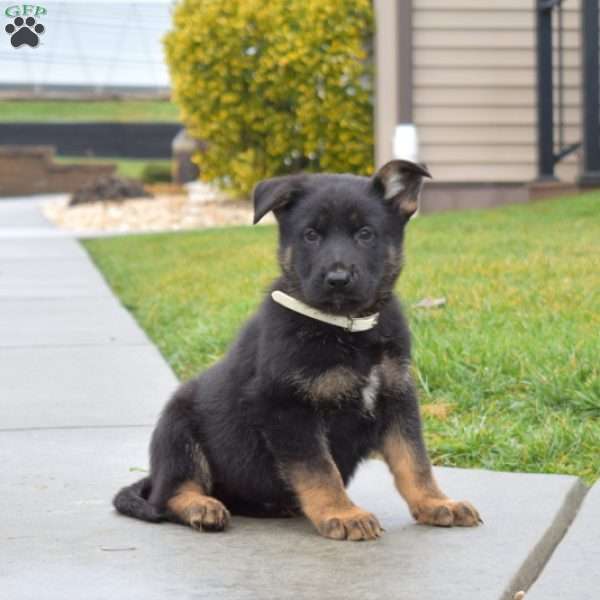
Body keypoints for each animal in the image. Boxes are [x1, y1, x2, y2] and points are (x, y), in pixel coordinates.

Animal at [113, 162, 482, 540]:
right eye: (311, 235)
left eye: (365, 234)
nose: (337, 279)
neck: (345, 327)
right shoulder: (286, 407)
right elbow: (319, 469)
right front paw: (343, 513)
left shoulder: (396, 397)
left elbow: (415, 461)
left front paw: (436, 503)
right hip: (177, 429)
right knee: (170, 494)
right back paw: (201, 506)